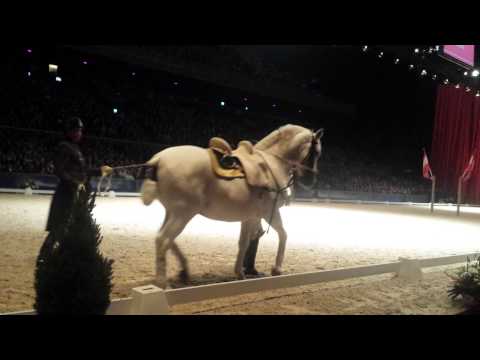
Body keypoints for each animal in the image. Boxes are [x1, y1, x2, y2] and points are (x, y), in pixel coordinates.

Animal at [141, 124, 324, 286]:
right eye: (316, 152)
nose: (312, 180)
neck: (272, 163)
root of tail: (159, 159)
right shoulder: (267, 213)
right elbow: (283, 234)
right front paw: (276, 269)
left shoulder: (250, 217)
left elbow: (244, 243)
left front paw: (240, 273)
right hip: (183, 214)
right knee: (163, 239)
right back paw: (163, 282)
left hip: (173, 212)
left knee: (166, 239)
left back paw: (184, 271)